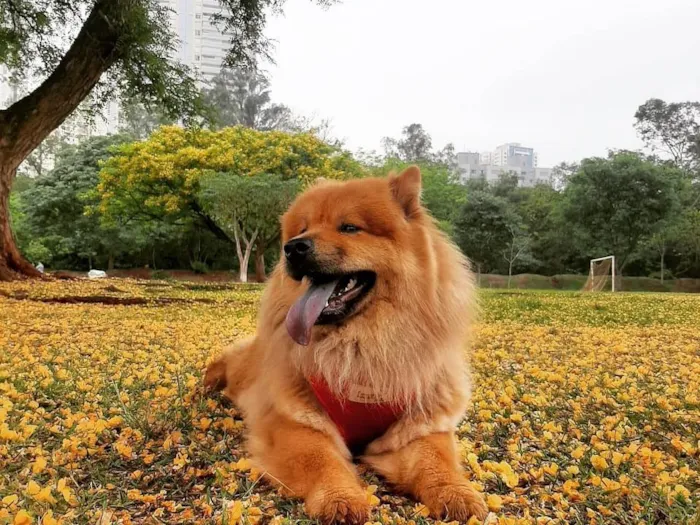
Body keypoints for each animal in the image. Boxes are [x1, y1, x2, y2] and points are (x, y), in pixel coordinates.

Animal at [202, 168, 486, 524]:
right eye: (303, 229)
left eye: (349, 228)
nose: (292, 248)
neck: (360, 347)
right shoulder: (297, 423)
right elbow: (322, 460)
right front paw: (340, 498)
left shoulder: (418, 426)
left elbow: (437, 462)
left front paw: (458, 494)